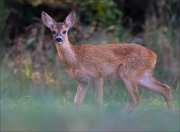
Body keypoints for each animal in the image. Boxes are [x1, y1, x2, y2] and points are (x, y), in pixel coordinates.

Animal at [40, 10, 173, 112]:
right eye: (52, 31)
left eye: (64, 31)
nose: (58, 39)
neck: (76, 58)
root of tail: (154, 55)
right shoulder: (83, 81)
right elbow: (76, 102)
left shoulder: (97, 75)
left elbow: (98, 102)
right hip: (142, 75)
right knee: (165, 88)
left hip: (127, 72)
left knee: (136, 98)